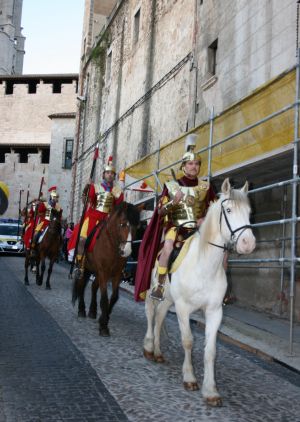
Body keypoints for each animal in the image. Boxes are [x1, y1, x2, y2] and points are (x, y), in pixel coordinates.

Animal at [72, 203, 141, 338]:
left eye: (137, 226)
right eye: (123, 224)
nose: (127, 251)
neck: (112, 246)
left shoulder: (116, 274)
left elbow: (114, 297)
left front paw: (104, 318)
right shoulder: (103, 272)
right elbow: (104, 298)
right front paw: (103, 326)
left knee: (93, 286)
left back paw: (92, 311)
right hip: (86, 268)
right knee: (82, 285)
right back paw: (82, 309)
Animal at [143, 178, 255, 406]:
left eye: (249, 212)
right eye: (228, 210)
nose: (248, 244)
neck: (204, 265)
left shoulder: (214, 312)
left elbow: (210, 351)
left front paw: (210, 390)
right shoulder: (183, 309)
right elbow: (188, 341)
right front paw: (189, 378)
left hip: (168, 300)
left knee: (159, 318)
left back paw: (158, 351)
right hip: (153, 292)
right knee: (150, 314)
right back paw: (149, 346)